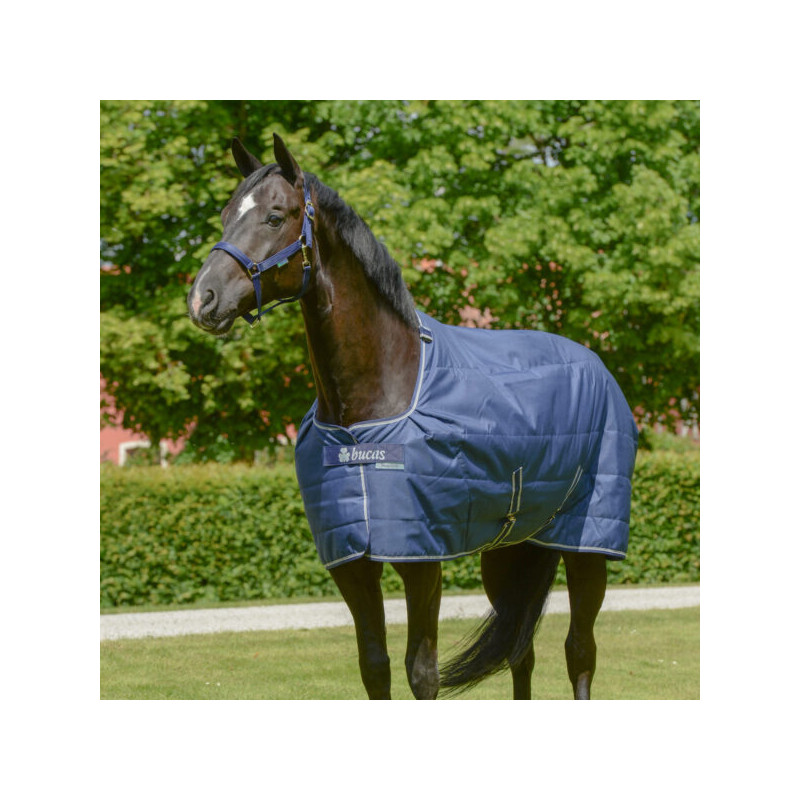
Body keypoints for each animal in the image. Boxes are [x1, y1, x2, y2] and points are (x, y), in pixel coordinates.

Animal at [187, 133, 638, 700]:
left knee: (579, 651)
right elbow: (374, 666)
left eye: (274, 216)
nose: (202, 299)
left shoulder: (422, 561)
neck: (368, 413)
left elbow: (422, 672)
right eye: (226, 215)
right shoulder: (353, 564)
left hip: (587, 544)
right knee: (521, 651)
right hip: (511, 550)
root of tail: (596, 364)